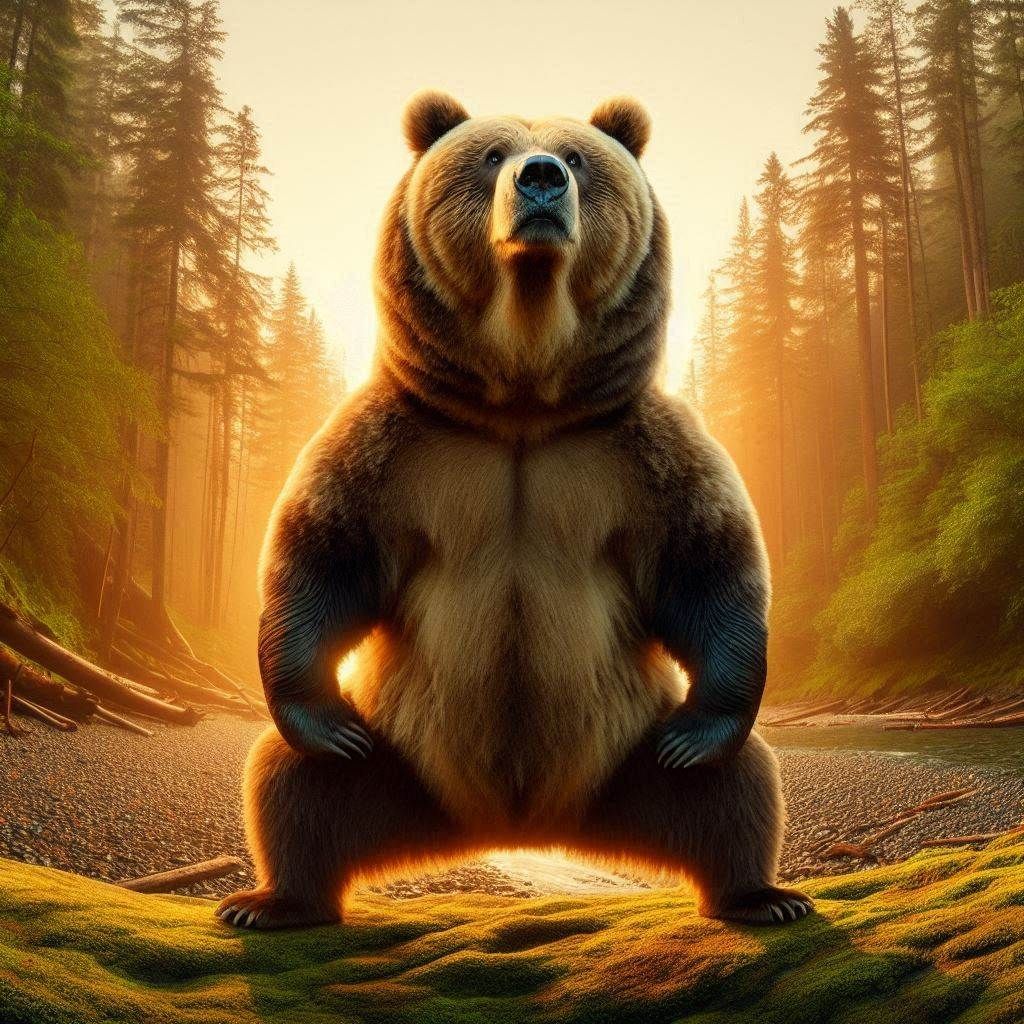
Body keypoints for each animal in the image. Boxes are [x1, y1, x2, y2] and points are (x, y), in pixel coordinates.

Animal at [216, 92, 813, 930]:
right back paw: (272, 900)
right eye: (492, 154)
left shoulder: (637, 448)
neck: (523, 396)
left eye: (580, 158)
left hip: (628, 755)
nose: (541, 178)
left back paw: (762, 894)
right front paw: (324, 719)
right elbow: (323, 552)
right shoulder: (399, 442)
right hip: (396, 758)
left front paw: (699, 732)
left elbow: (707, 562)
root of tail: (514, 823)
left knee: (737, 791)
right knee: (291, 786)